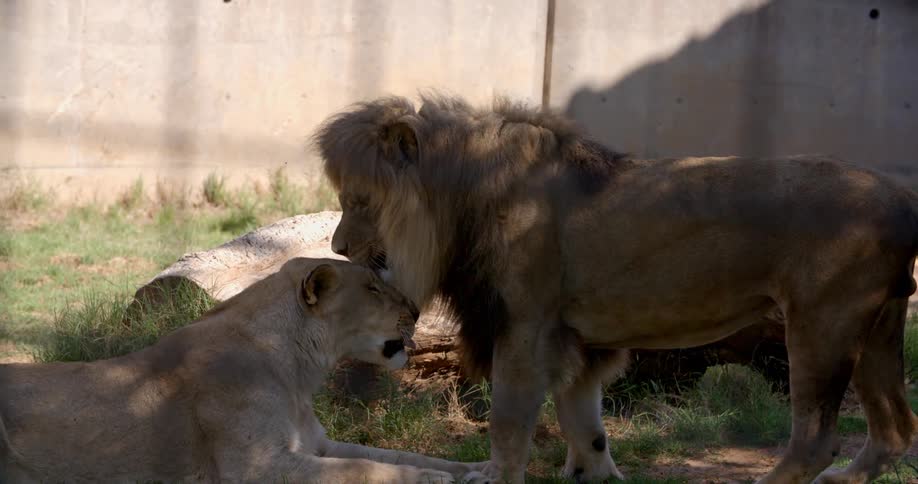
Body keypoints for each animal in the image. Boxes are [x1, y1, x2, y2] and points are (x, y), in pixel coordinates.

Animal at [0, 257, 486, 483]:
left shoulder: (317, 444)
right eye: (371, 289)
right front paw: (438, 481)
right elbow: (364, 470)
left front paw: (475, 468)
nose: (416, 311)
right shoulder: (258, 467)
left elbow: (397, 456)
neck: (296, 372)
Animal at [314, 95, 918, 483]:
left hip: (821, 323)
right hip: (878, 326)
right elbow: (585, 424)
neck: (461, 201)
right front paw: (596, 476)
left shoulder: (526, 327)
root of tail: (901, 196)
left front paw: (493, 475)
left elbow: (509, 418)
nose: (338, 247)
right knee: (895, 429)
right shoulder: (576, 340)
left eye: (360, 200)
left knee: (816, 439)